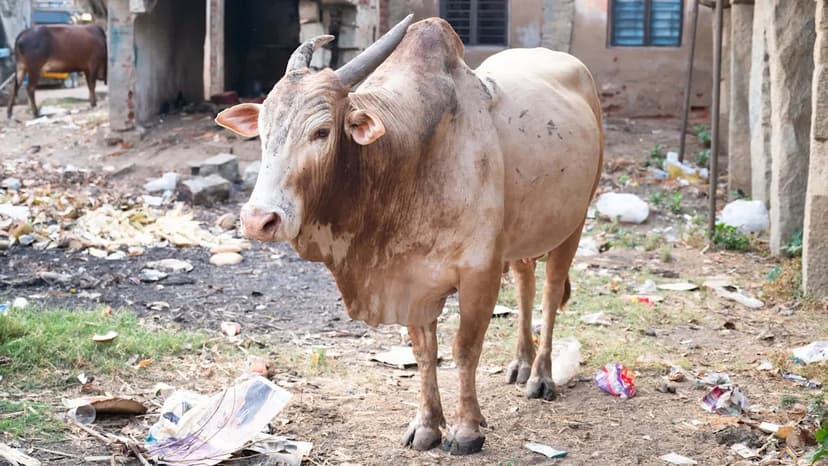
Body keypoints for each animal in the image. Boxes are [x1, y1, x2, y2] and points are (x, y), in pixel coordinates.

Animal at [216, 15, 603, 455]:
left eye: (321, 132)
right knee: (525, 283)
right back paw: (521, 363)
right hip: (524, 235)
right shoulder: (410, 278)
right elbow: (424, 350)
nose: (258, 220)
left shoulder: (479, 271)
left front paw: (466, 430)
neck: (410, 156)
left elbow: (464, 349)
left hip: (574, 222)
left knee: (551, 294)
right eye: (262, 133)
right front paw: (428, 425)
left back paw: (540, 375)